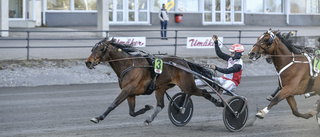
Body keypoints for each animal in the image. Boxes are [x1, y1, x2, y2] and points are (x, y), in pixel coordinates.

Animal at [85, 38, 220, 124]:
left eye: (101, 49)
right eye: (92, 49)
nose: (88, 62)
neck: (128, 65)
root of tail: (184, 62)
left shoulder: (127, 90)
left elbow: (113, 104)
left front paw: (98, 117)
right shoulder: (130, 93)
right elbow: (132, 113)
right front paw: (147, 107)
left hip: (187, 85)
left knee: (203, 92)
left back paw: (218, 102)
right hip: (161, 88)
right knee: (161, 105)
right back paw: (151, 118)